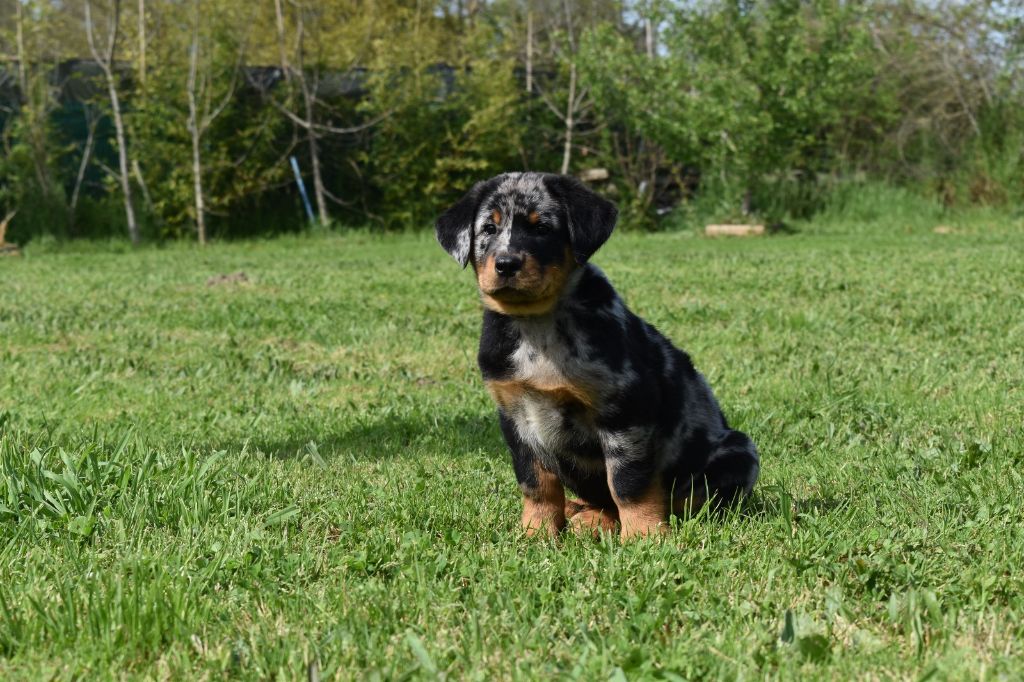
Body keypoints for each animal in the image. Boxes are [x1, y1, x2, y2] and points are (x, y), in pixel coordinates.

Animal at [435, 172, 759, 538]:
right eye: (488, 229)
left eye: (542, 228)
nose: (506, 264)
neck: (538, 325)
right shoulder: (515, 417)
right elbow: (537, 485)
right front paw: (535, 533)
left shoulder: (624, 411)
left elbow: (628, 484)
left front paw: (644, 536)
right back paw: (584, 514)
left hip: (739, 451)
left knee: (683, 501)